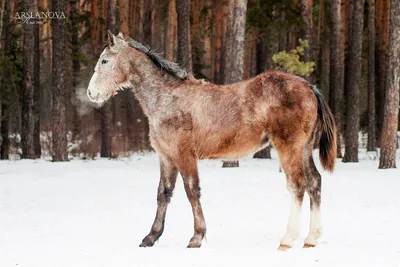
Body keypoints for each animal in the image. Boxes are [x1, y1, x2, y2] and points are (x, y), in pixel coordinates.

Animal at [87, 31, 338, 251]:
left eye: (105, 60)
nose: (91, 93)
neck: (168, 98)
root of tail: (309, 87)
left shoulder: (184, 156)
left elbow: (191, 191)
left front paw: (196, 237)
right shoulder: (166, 156)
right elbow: (163, 194)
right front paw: (150, 237)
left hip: (288, 148)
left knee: (298, 185)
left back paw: (287, 239)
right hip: (304, 149)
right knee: (314, 183)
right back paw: (311, 238)